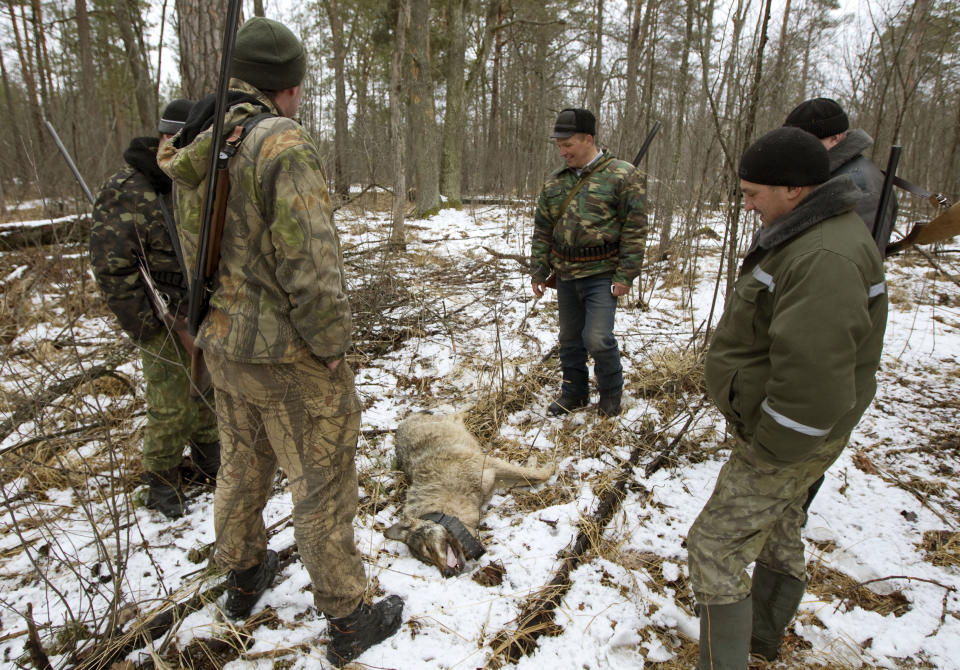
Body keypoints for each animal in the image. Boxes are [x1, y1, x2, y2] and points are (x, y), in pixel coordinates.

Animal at [386, 414, 556, 576]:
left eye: (427, 549)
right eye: (427, 561)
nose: (447, 574)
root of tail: (401, 425)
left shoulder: (488, 465)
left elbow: (538, 475)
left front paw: (545, 462)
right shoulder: (493, 479)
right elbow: (532, 476)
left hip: (453, 423)